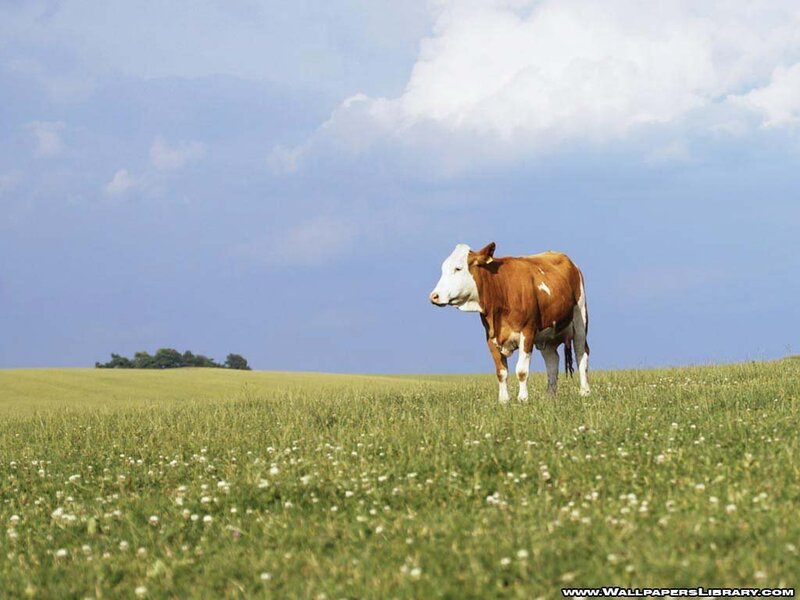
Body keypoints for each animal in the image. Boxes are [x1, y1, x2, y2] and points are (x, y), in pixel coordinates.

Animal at [429, 242, 590, 402]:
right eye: (443, 268)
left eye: (458, 268)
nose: (434, 296)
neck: (501, 291)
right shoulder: (491, 337)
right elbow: (501, 372)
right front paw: (504, 401)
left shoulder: (527, 332)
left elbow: (522, 371)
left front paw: (523, 399)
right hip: (547, 335)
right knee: (552, 362)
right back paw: (550, 397)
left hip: (580, 319)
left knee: (581, 354)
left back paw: (584, 392)